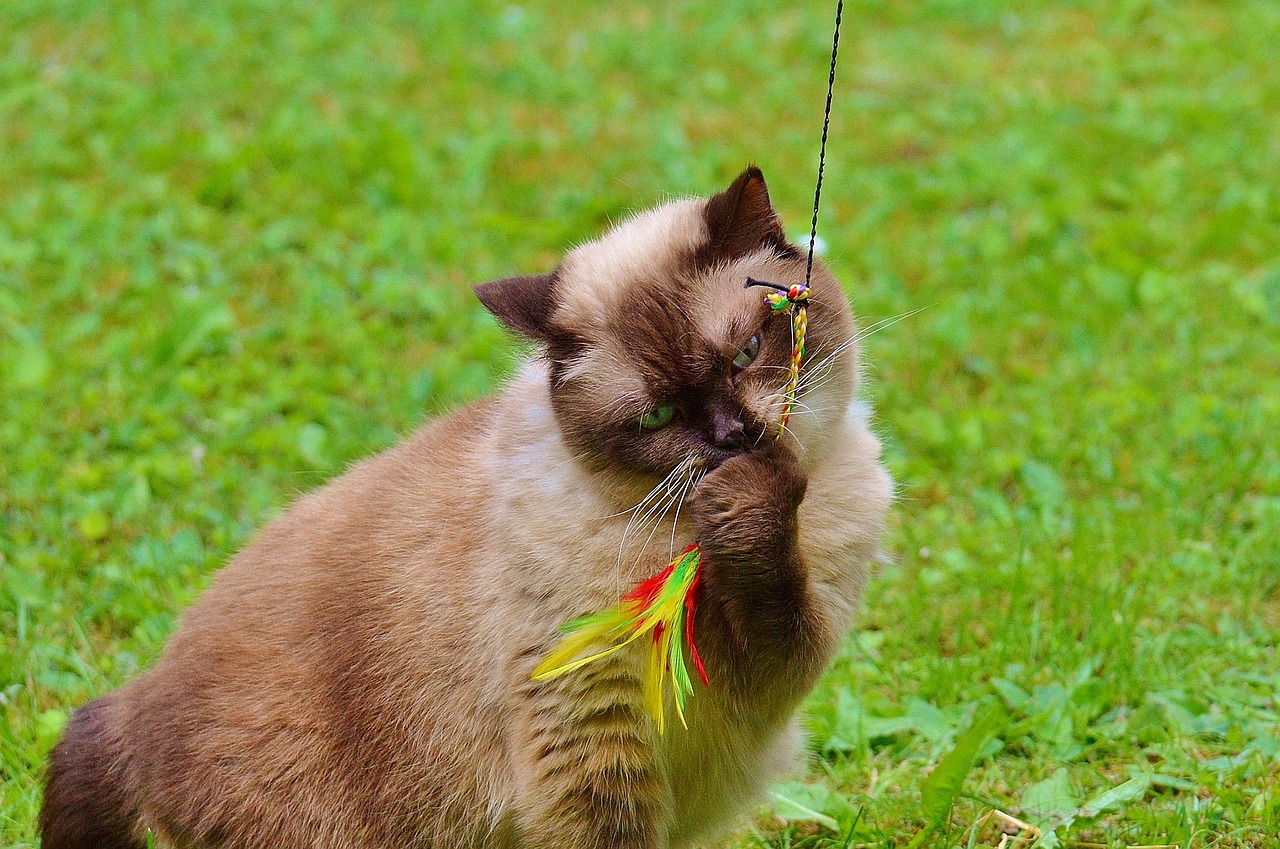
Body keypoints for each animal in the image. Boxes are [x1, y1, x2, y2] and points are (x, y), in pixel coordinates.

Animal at [45, 167, 896, 849]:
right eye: (656, 417)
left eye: (747, 353)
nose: (731, 439)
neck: (678, 536)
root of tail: (132, 707)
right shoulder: (597, 732)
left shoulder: (783, 659)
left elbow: (775, 595)